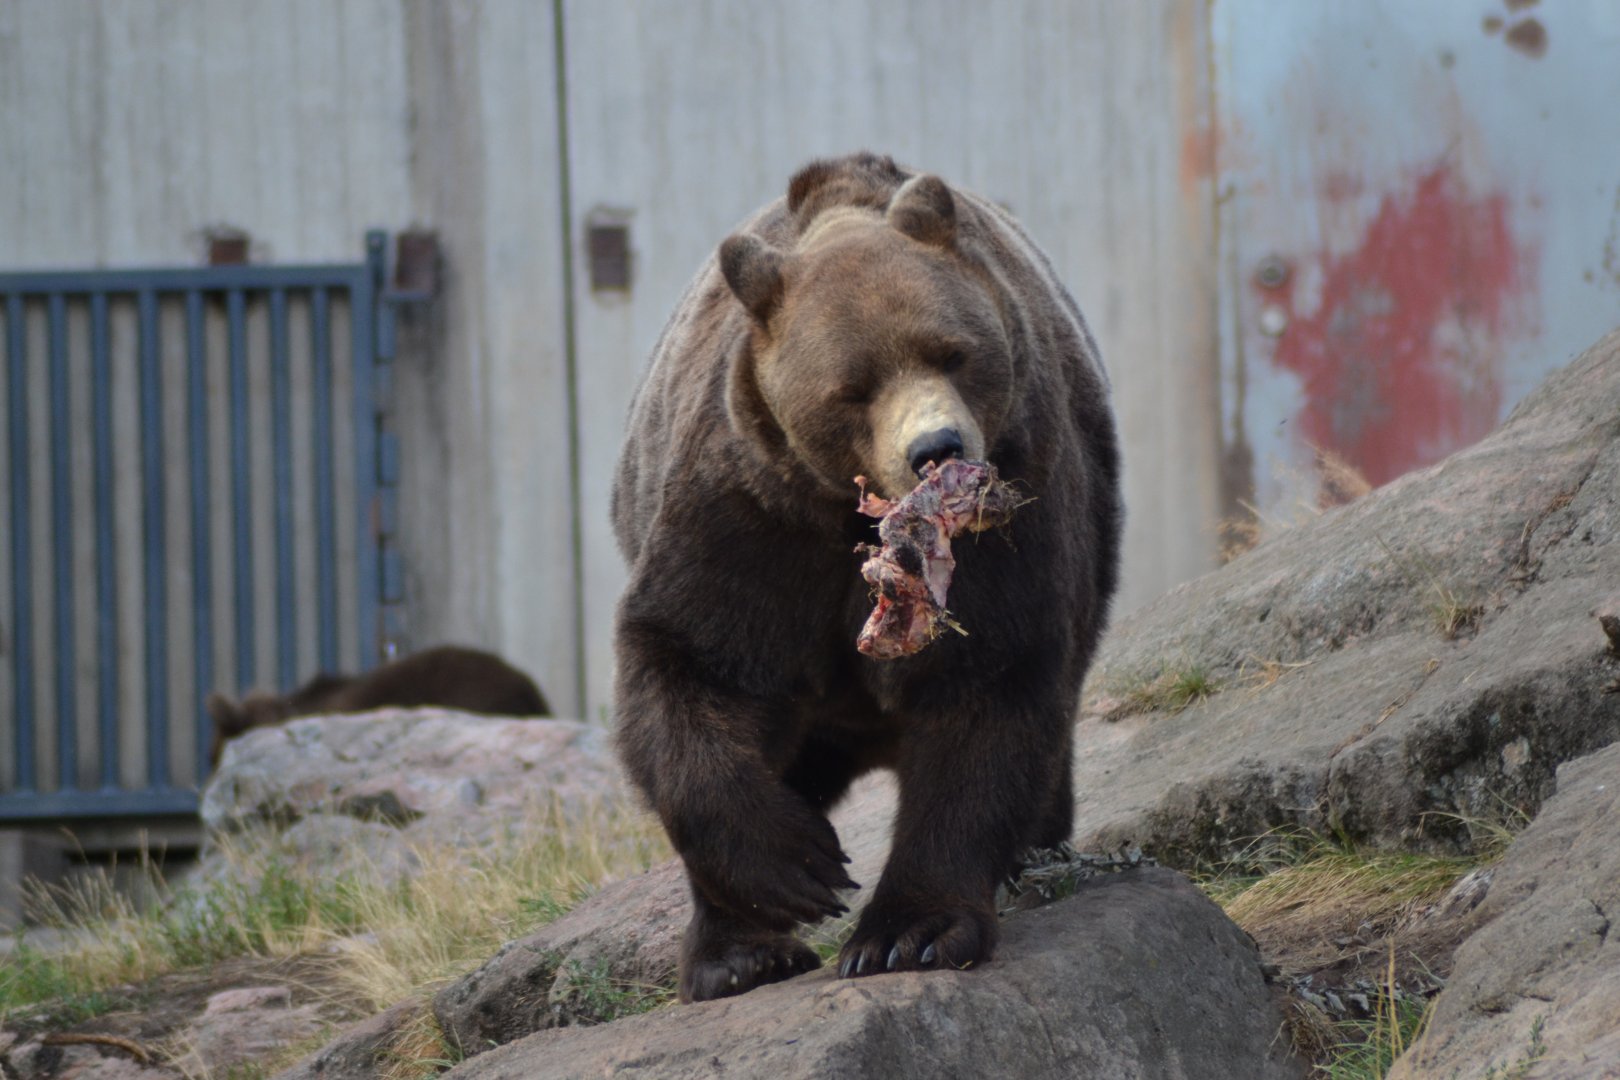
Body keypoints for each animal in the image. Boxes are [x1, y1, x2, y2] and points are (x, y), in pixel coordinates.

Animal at [611, 152, 1121, 1003]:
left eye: (953, 351)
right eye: (852, 386)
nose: (937, 449)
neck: (858, 518)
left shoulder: (1019, 508)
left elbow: (987, 689)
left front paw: (908, 933)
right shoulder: (753, 516)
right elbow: (692, 660)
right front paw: (800, 867)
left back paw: (1040, 845)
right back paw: (737, 955)